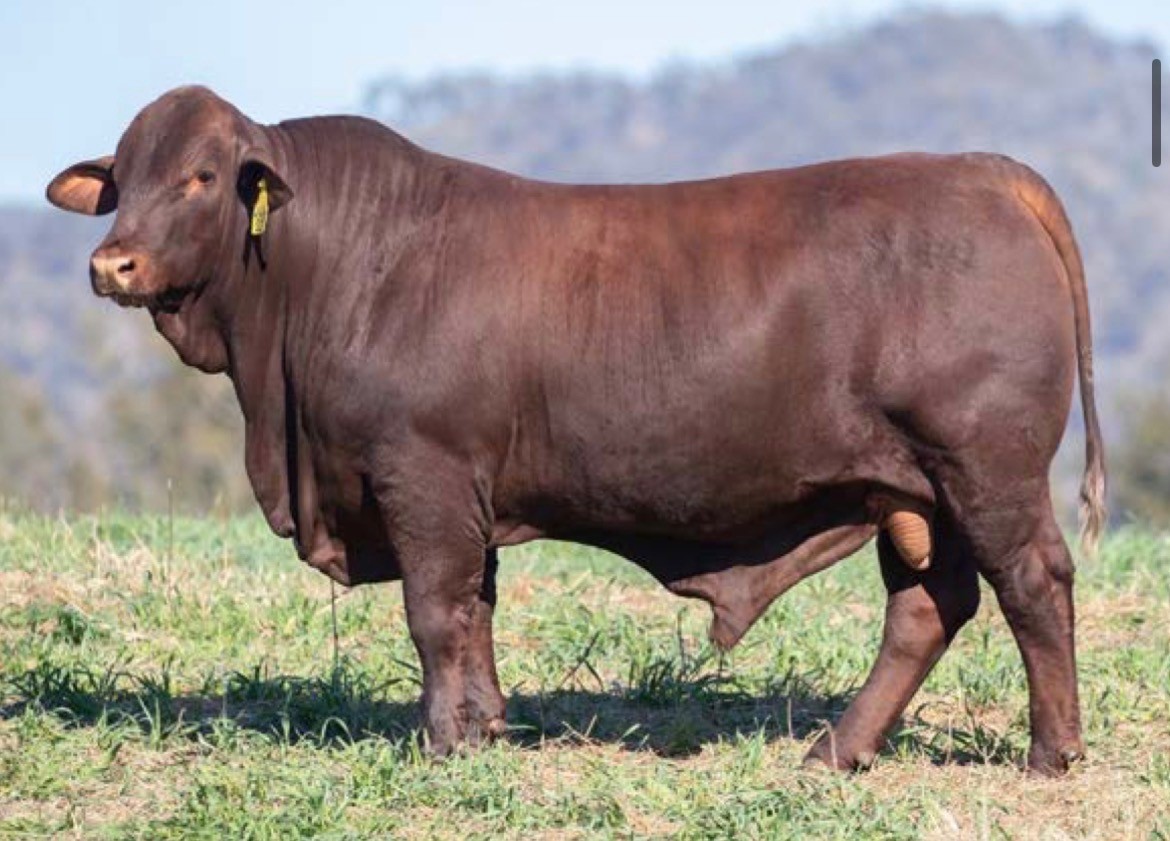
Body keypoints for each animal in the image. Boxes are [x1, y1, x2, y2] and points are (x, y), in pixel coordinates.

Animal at [47, 86, 1105, 774]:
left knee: (1032, 583)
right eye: (122, 177)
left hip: (985, 466)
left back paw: (1050, 752)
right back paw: (835, 751)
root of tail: (984, 172)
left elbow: (434, 610)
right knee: (929, 606)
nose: (111, 264)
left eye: (201, 175)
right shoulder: (460, 494)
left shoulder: (421, 472)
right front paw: (484, 728)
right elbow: (474, 609)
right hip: (913, 491)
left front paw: (442, 744)